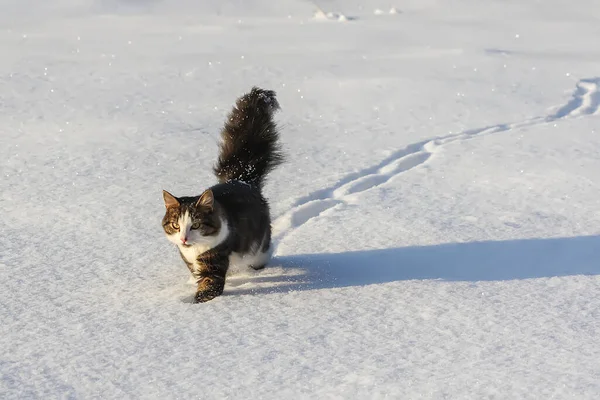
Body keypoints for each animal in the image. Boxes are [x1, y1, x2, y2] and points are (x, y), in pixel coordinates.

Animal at [162, 86, 284, 302]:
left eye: (196, 225)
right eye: (176, 225)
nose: (184, 239)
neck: (194, 251)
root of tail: (242, 179)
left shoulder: (216, 256)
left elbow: (209, 285)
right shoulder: (188, 259)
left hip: (259, 247)